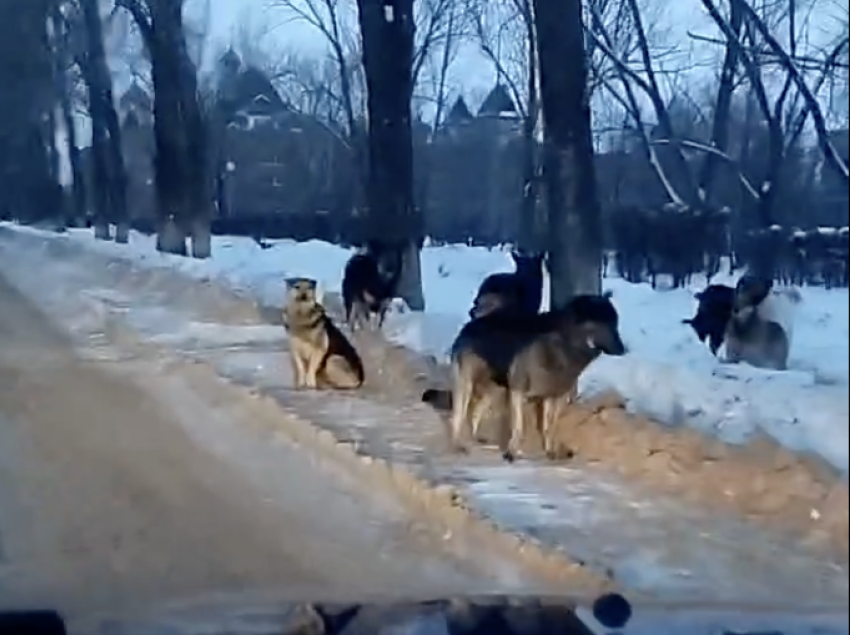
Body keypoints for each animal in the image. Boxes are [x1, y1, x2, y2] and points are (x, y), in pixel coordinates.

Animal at [428, 294, 628, 462]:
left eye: (615, 324)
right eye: (604, 325)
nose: (623, 350)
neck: (564, 345)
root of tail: (473, 323)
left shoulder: (553, 397)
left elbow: (549, 427)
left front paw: (550, 451)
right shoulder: (518, 392)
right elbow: (520, 427)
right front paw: (511, 453)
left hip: (495, 389)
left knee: (476, 410)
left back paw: (476, 437)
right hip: (467, 385)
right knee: (458, 416)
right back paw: (457, 445)